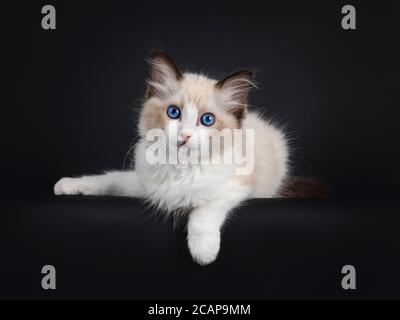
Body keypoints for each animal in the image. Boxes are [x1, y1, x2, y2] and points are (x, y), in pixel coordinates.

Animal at [54, 50, 318, 264]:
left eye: (207, 120)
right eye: (173, 113)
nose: (185, 135)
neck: (180, 168)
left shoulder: (236, 188)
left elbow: (203, 212)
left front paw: (203, 252)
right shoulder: (144, 186)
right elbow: (108, 179)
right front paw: (67, 185)